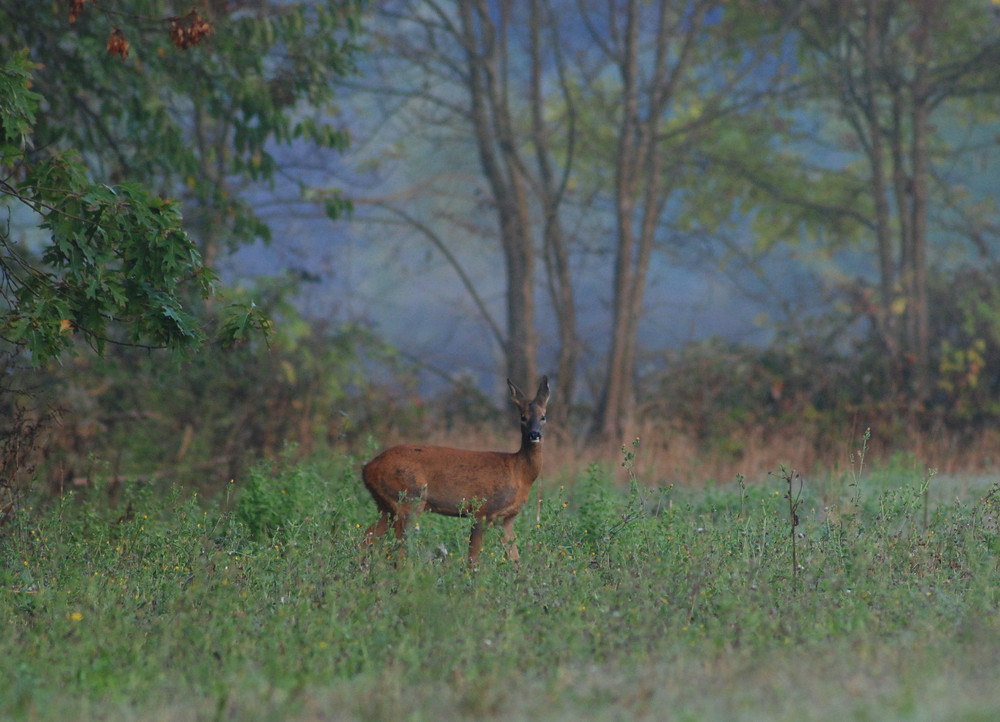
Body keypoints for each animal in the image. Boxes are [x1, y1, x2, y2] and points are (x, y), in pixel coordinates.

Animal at [360, 374, 552, 564]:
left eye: (543, 417)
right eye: (523, 417)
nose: (534, 434)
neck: (519, 472)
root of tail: (367, 469)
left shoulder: (506, 519)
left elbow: (515, 560)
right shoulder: (483, 510)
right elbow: (473, 559)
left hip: (387, 506)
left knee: (367, 539)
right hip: (409, 498)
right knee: (395, 550)